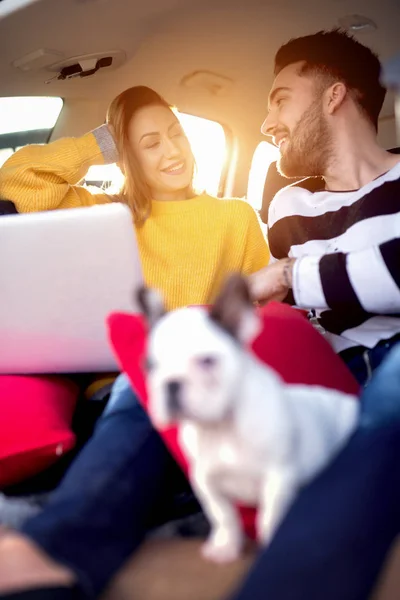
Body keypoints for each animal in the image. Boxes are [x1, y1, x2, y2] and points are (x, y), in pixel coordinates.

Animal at [138, 274, 360, 564]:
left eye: (207, 361)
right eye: (149, 366)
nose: (171, 383)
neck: (222, 426)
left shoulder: (278, 478)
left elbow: (270, 517)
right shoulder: (206, 482)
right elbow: (223, 515)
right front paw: (226, 545)